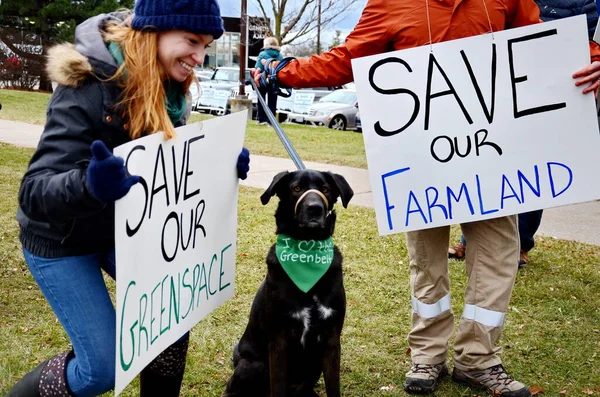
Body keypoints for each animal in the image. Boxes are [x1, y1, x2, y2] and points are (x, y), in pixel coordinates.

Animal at [224, 169, 354, 396]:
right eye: (296, 188)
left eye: (325, 189)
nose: (315, 208)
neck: (307, 249)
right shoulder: (279, 341)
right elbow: (278, 387)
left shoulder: (331, 340)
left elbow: (334, 387)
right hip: (254, 365)